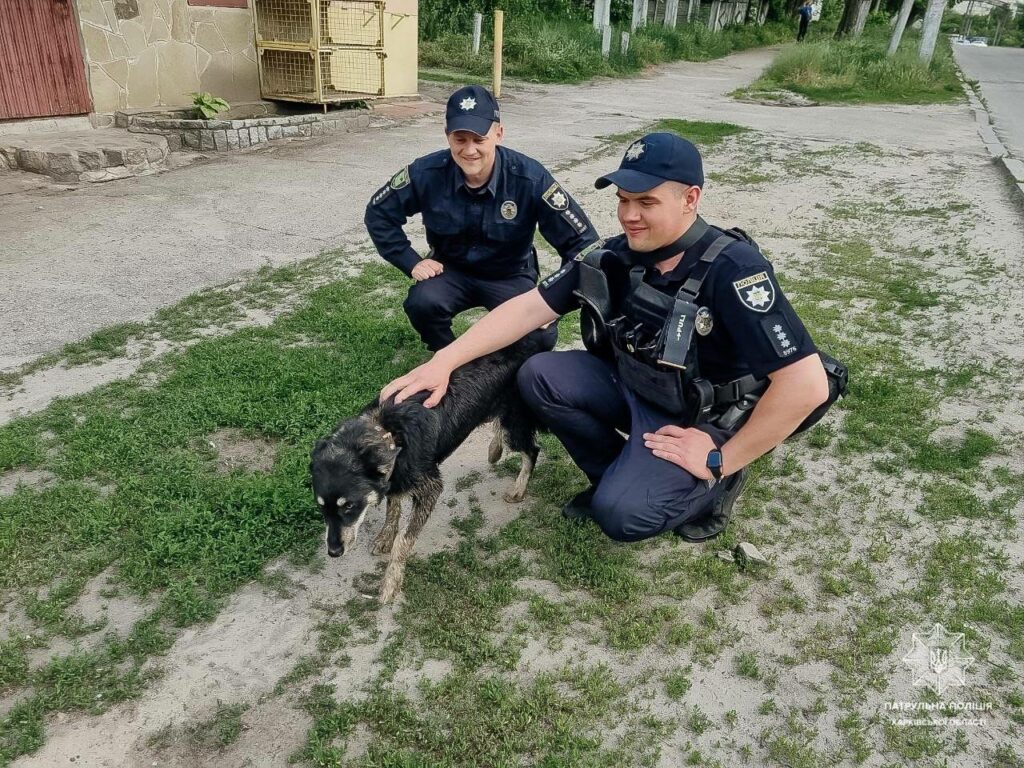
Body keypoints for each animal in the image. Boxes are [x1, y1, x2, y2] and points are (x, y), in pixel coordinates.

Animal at [309, 333, 548, 606]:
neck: (388, 433)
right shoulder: (396, 478)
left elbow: (404, 540)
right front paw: (384, 537)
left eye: (349, 505)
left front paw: (390, 583)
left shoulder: (430, 486)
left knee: (532, 450)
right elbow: (393, 509)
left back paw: (518, 489)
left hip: (515, 421)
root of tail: (532, 338)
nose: (333, 552)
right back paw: (494, 449)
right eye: (320, 506)